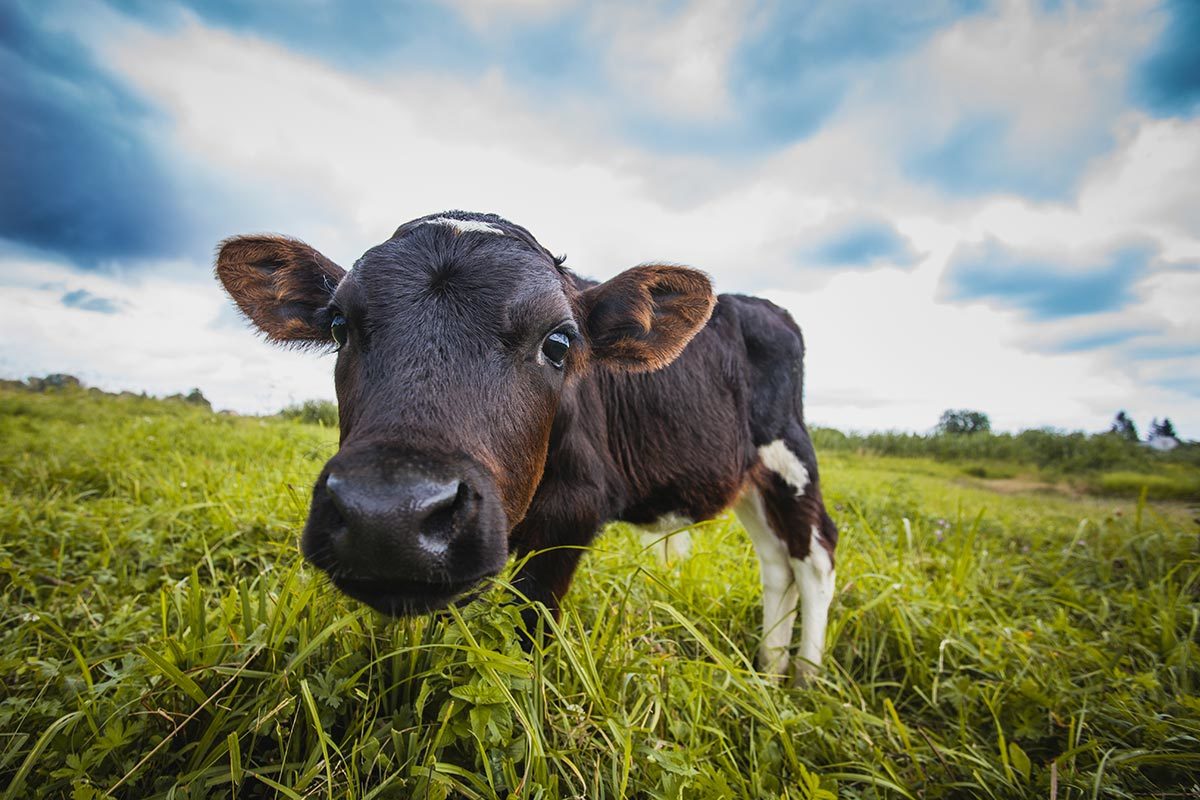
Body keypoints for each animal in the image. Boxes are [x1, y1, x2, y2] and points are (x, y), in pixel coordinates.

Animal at [213, 209, 835, 681]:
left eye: (559, 341)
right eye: (340, 325)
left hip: (791, 455)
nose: (386, 515)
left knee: (815, 556)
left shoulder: (576, 511)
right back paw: (768, 668)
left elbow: (529, 628)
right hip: (750, 480)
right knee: (776, 561)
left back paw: (803, 679)